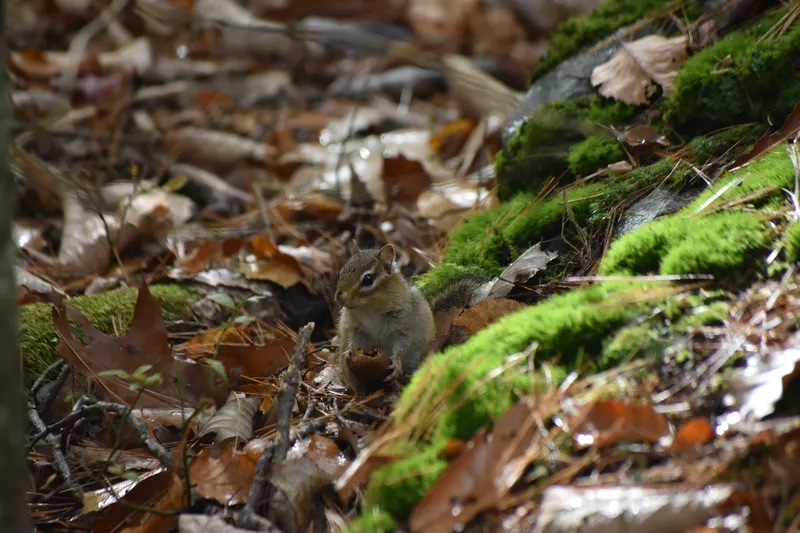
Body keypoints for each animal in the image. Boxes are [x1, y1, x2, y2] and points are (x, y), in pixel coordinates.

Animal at [334, 243, 483, 393]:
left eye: (368, 279)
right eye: (341, 272)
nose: (339, 297)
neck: (369, 310)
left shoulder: (403, 325)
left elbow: (401, 345)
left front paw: (395, 362)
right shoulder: (358, 328)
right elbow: (356, 340)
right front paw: (348, 353)